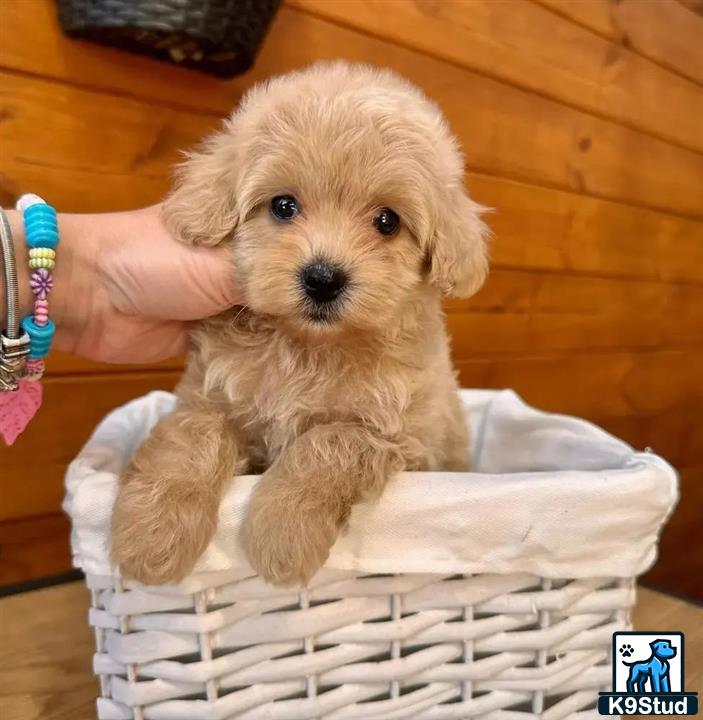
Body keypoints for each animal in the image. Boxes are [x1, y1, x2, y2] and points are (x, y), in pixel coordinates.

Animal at [111, 63, 490, 584]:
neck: (307, 347)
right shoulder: (209, 394)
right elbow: (192, 434)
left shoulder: (406, 437)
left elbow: (331, 441)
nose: (323, 278)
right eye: (283, 206)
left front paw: (283, 533)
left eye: (388, 221)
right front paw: (152, 535)